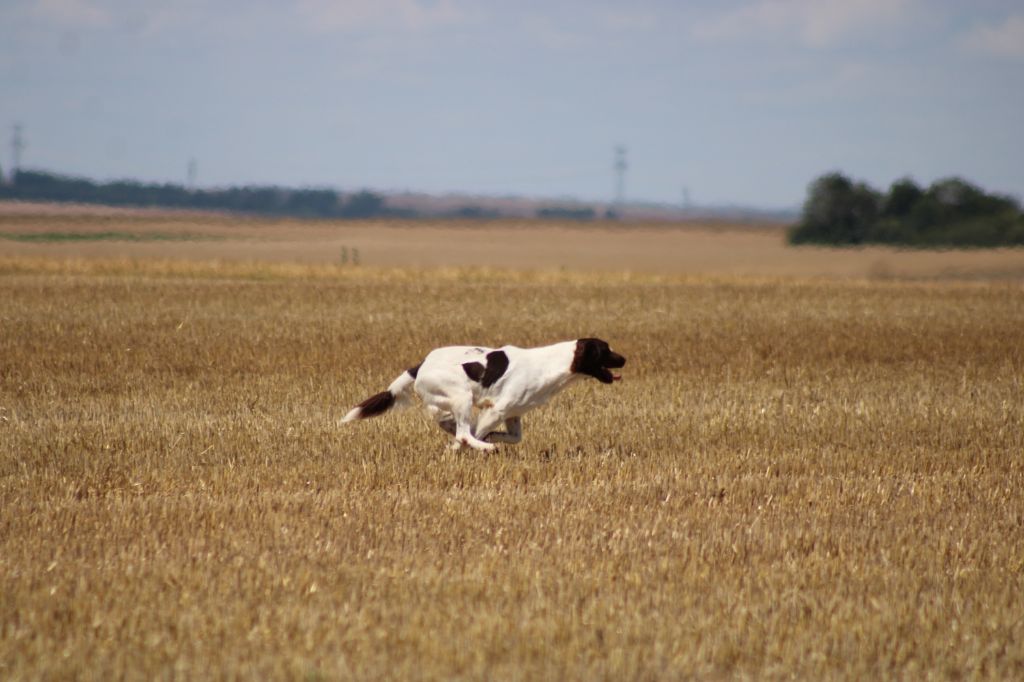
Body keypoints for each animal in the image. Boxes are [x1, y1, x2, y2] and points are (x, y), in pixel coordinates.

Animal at [342, 337, 622, 448]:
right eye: (606, 350)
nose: (625, 359)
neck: (549, 364)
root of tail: (422, 364)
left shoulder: (513, 414)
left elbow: (513, 437)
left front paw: (492, 438)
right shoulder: (497, 409)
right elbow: (472, 435)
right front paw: (467, 449)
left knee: (447, 421)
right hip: (462, 395)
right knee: (464, 433)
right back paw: (483, 448)